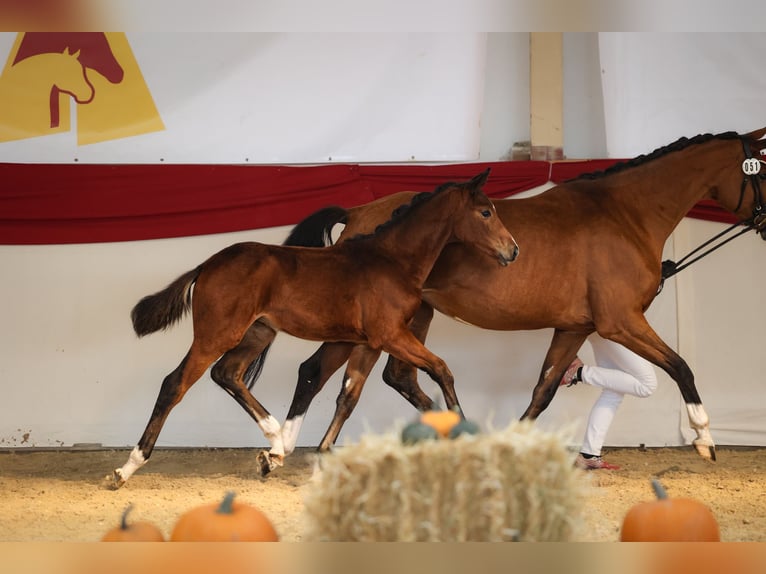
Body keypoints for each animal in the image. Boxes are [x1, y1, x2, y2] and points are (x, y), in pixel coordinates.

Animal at [109, 170, 518, 488]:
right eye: (485, 211)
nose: (512, 250)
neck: (391, 261)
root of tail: (207, 264)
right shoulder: (390, 336)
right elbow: (442, 370)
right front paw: (465, 430)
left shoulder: (369, 343)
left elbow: (348, 397)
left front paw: (320, 460)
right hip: (217, 334)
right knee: (175, 383)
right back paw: (126, 469)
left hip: (258, 333)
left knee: (226, 373)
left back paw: (274, 444)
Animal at [218, 127, 766, 474]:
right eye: (760, 170)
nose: (764, 221)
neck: (622, 213)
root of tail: (357, 214)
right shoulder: (619, 322)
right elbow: (681, 367)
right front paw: (705, 439)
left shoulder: (575, 327)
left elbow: (543, 391)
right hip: (373, 327)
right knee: (325, 375)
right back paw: (284, 449)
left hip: (407, 320)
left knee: (386, 378)